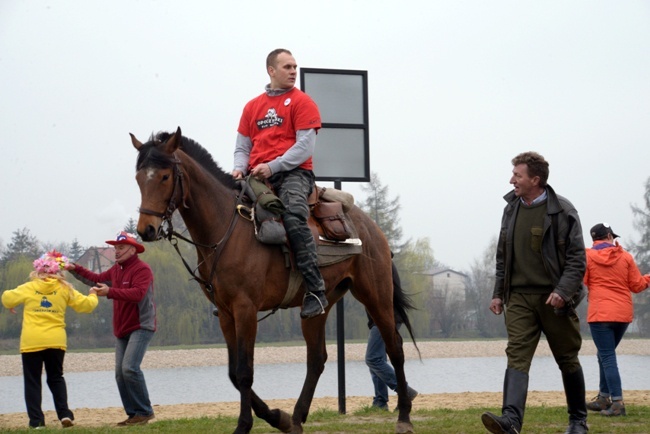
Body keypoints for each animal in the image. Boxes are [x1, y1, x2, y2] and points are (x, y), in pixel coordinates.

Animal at [130, 127, 418, 432]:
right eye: (139, 178)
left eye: (164, 176)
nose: (147, 230)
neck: (225, 230)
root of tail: (373, 229)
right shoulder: (225, 314)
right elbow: (233, 373)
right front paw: (278, 418)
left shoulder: (245, 309)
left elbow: (244, 372)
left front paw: (244, 425)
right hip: (318, 308)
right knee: (317, 359)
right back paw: (296, 418)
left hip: (377, 296)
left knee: (395, 348)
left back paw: (404, 417)